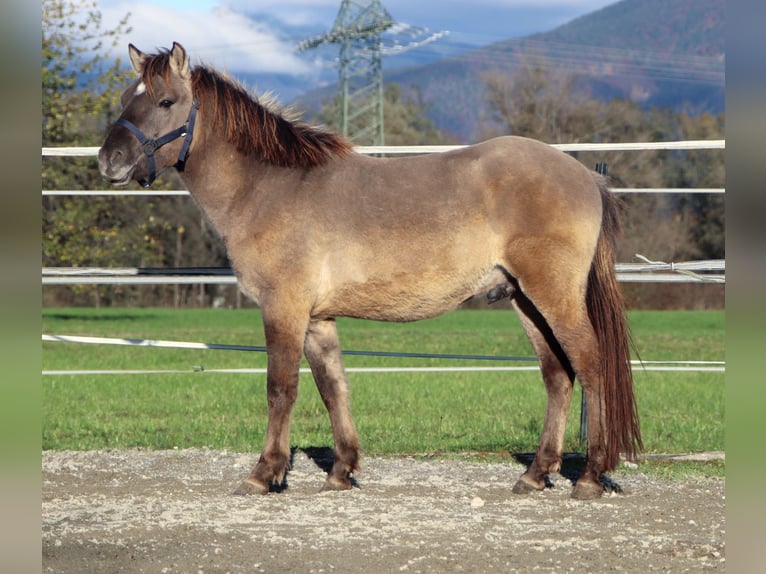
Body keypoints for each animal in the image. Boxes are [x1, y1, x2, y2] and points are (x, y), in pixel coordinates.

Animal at [98, 42, 641, 500]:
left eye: (166, 101)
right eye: (126, 97)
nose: (109, 160)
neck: (271, 187)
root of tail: (584, 175)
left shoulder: (284, 308)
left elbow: (281, 389)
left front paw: (264, 473)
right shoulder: (317, 319)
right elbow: (332, 388)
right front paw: (342, 471)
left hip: (554, 295)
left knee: (591, 366)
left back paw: (589, 476)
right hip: (524, 299)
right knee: (557, 376)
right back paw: (535, 474)